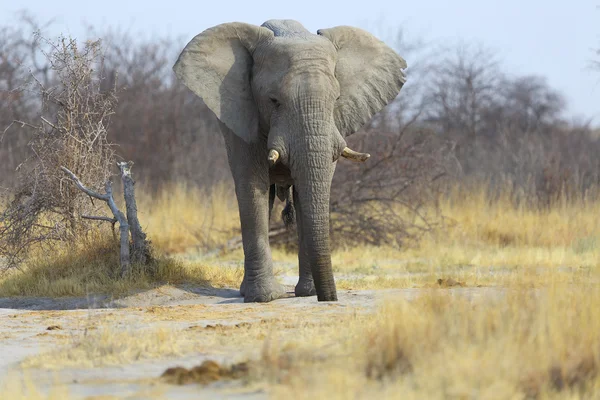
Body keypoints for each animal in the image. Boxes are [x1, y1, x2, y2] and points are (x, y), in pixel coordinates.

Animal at [173, 18, 408, 300]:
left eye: (336, 99)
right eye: (274, 101)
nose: (330, 298)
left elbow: (310, 192)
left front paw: (307, 293)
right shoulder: (242, 117)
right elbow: (252, 186)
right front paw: (263, 298)